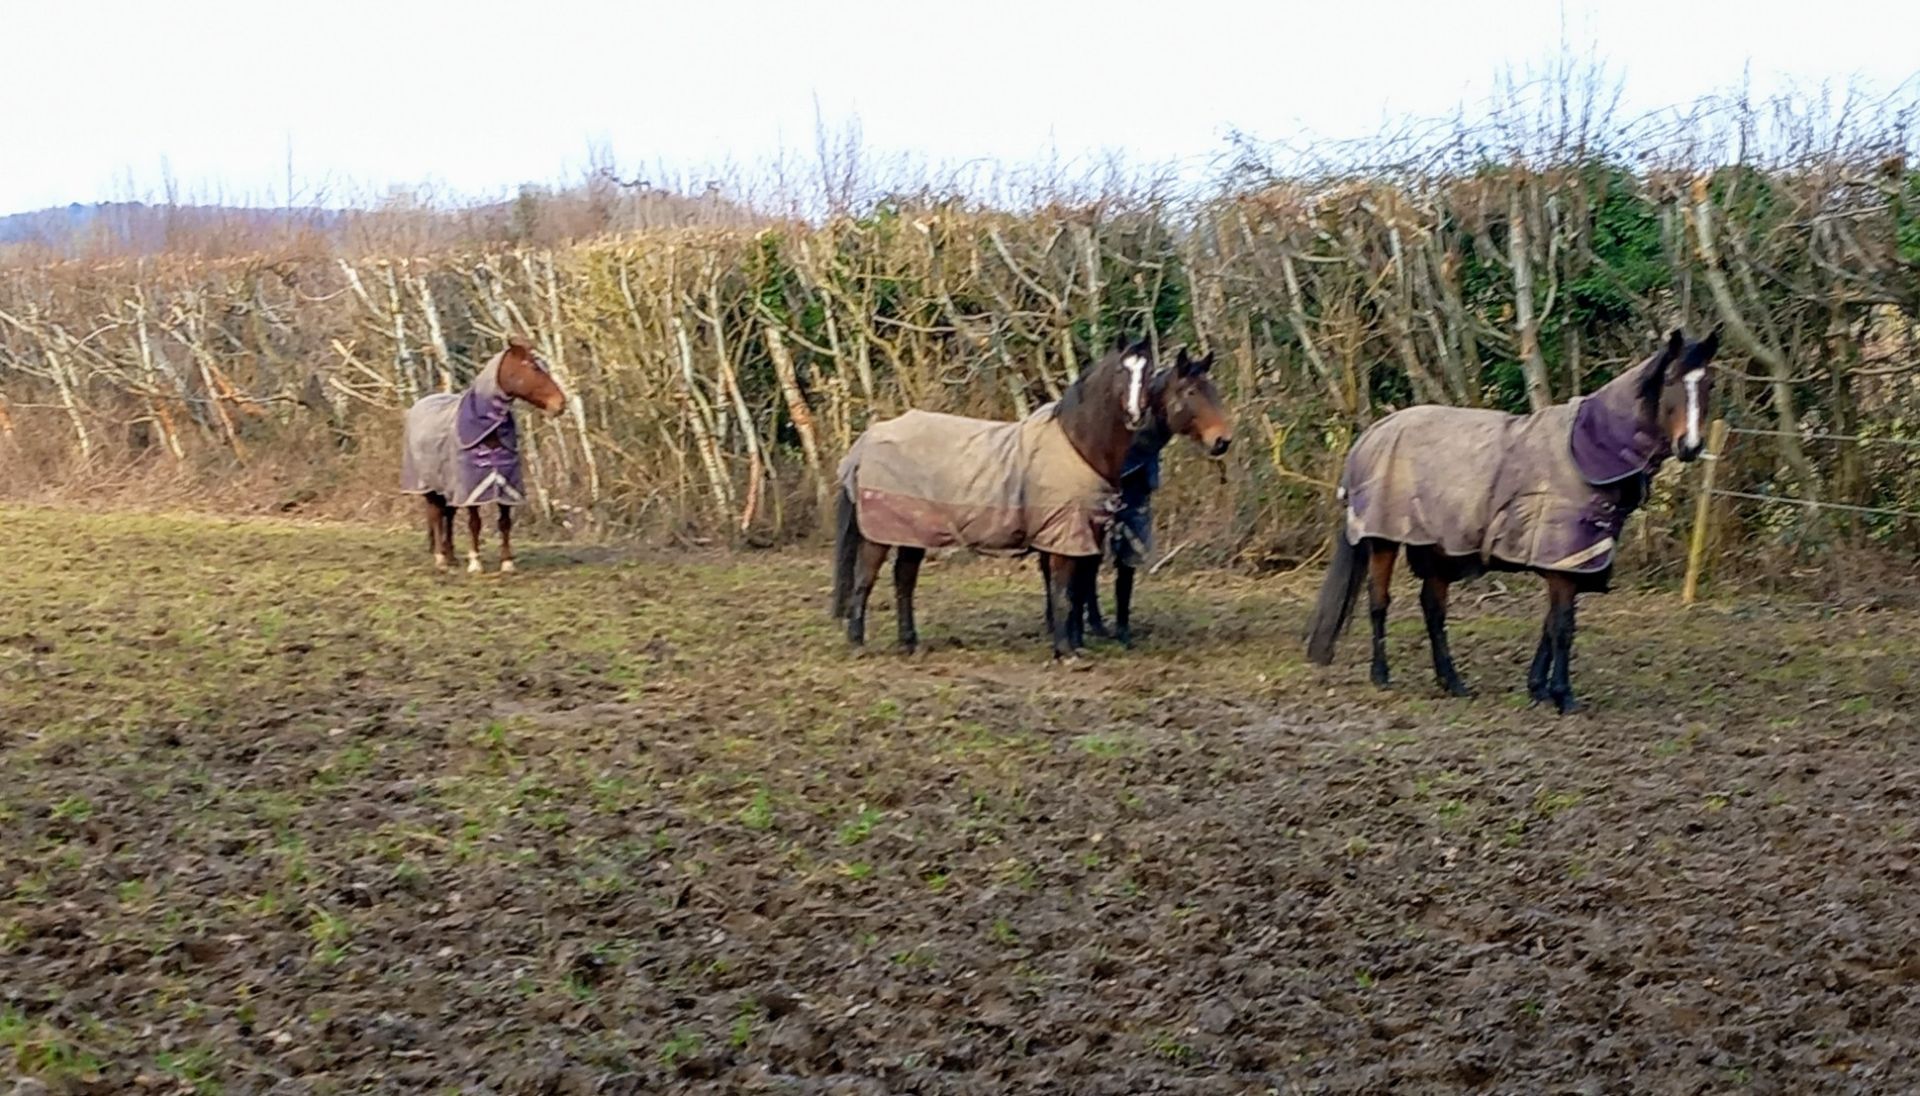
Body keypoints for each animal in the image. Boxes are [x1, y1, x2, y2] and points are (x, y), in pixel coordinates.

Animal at [400, 336, 566, 574]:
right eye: (533, 367)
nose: (560, 404)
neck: (487, 431)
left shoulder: (506, 484)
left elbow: (504, 523)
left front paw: (507, 562)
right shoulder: (471, 490)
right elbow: (474, 523)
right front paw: (475, 562)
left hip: (448, 488)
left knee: (448, 515)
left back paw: (451, 557)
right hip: (429, 487)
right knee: (435, 516)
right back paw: (441, 559)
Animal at [831, 337, 1160, 659]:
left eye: (1149, 372)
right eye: (1121, 371)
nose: (1136, 415)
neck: (1077, 445)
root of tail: (866, 442)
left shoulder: (1082, 534)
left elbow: (1076, 592)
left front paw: (1075, 644)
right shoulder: (1062, 536)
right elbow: (1063, 592)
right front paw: (1065, 651)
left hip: (913, 533)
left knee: (904, 579)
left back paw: (909, 644)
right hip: (880, 534)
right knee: (865, 579)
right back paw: (857, 643)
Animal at [1056, 347, 1234, 648]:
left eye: (1214, 391)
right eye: (1190, 392)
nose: (1222, 440)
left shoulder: (1133, 514)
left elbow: (1124, 571)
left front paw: (1120, 631)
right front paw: (1077, 633)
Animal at [1304, 327, 1720, 713]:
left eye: (1709, 383)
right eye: (1671, 380)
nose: (1691, 446)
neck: (1589, 450)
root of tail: (1373, 433)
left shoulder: (1568, 560)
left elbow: (1550, 624)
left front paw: (1538, 688)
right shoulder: (1563, 559)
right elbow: (1563, 626)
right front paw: (1562, 695)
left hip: (1436, 545)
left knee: (1433, 608)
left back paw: (1452, 681)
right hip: (1385, 539)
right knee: (1379, 602)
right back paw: (1382, 675)